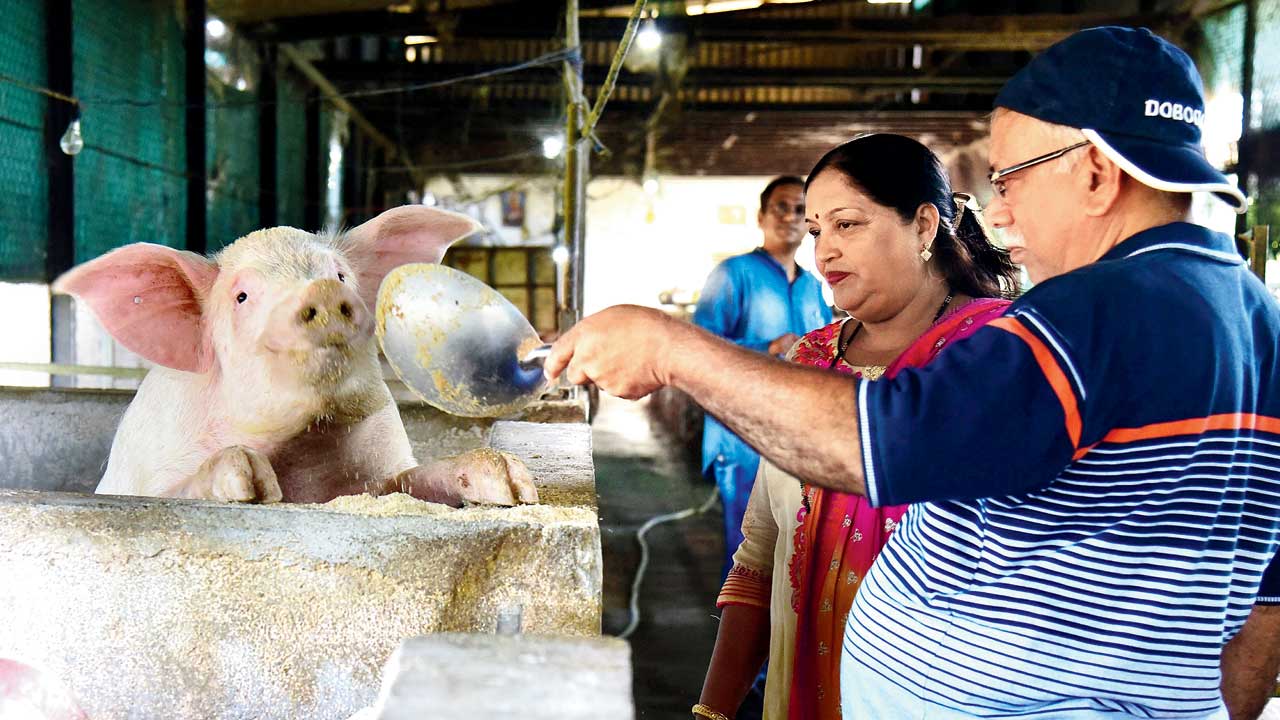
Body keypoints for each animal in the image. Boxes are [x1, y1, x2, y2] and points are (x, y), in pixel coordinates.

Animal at [51, 203, 535, 504]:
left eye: (340, 275)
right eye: (242, 296)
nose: (322, 290)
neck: (302, 445)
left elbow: (404, 482)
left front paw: (514, 484)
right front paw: (249, 478)